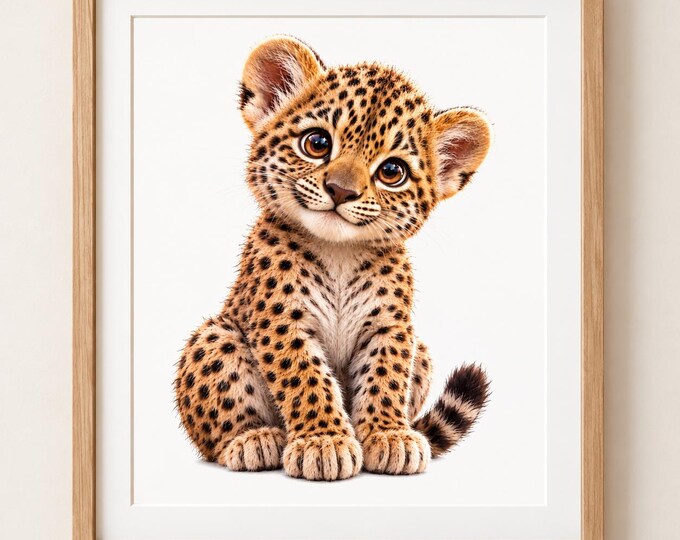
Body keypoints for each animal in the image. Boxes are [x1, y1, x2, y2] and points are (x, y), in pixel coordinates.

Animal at [174, 36, 492, 481]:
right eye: (317, 143)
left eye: (392, 171)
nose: (341, 190)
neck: (339, 251)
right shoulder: (280, 319)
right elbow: (305, 377)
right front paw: (324, 442)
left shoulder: (389, 326)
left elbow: (386, 376)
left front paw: (388, 436)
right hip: (215, 336)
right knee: (216, 435)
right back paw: (254, 439)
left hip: (424, 352)